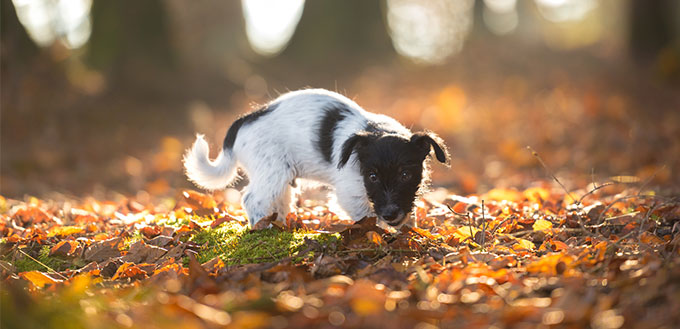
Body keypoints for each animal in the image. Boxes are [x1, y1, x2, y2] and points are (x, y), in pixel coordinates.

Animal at [183, 88, 448, 227]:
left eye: (405, 174)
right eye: (372, 176)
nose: (391, 214)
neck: (378, 130)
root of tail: (243, 121)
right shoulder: (351, 193)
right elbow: (367, 216)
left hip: (280, 176)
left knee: (278, 200)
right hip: (272, 171)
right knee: (252, 199)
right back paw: (261, 227)